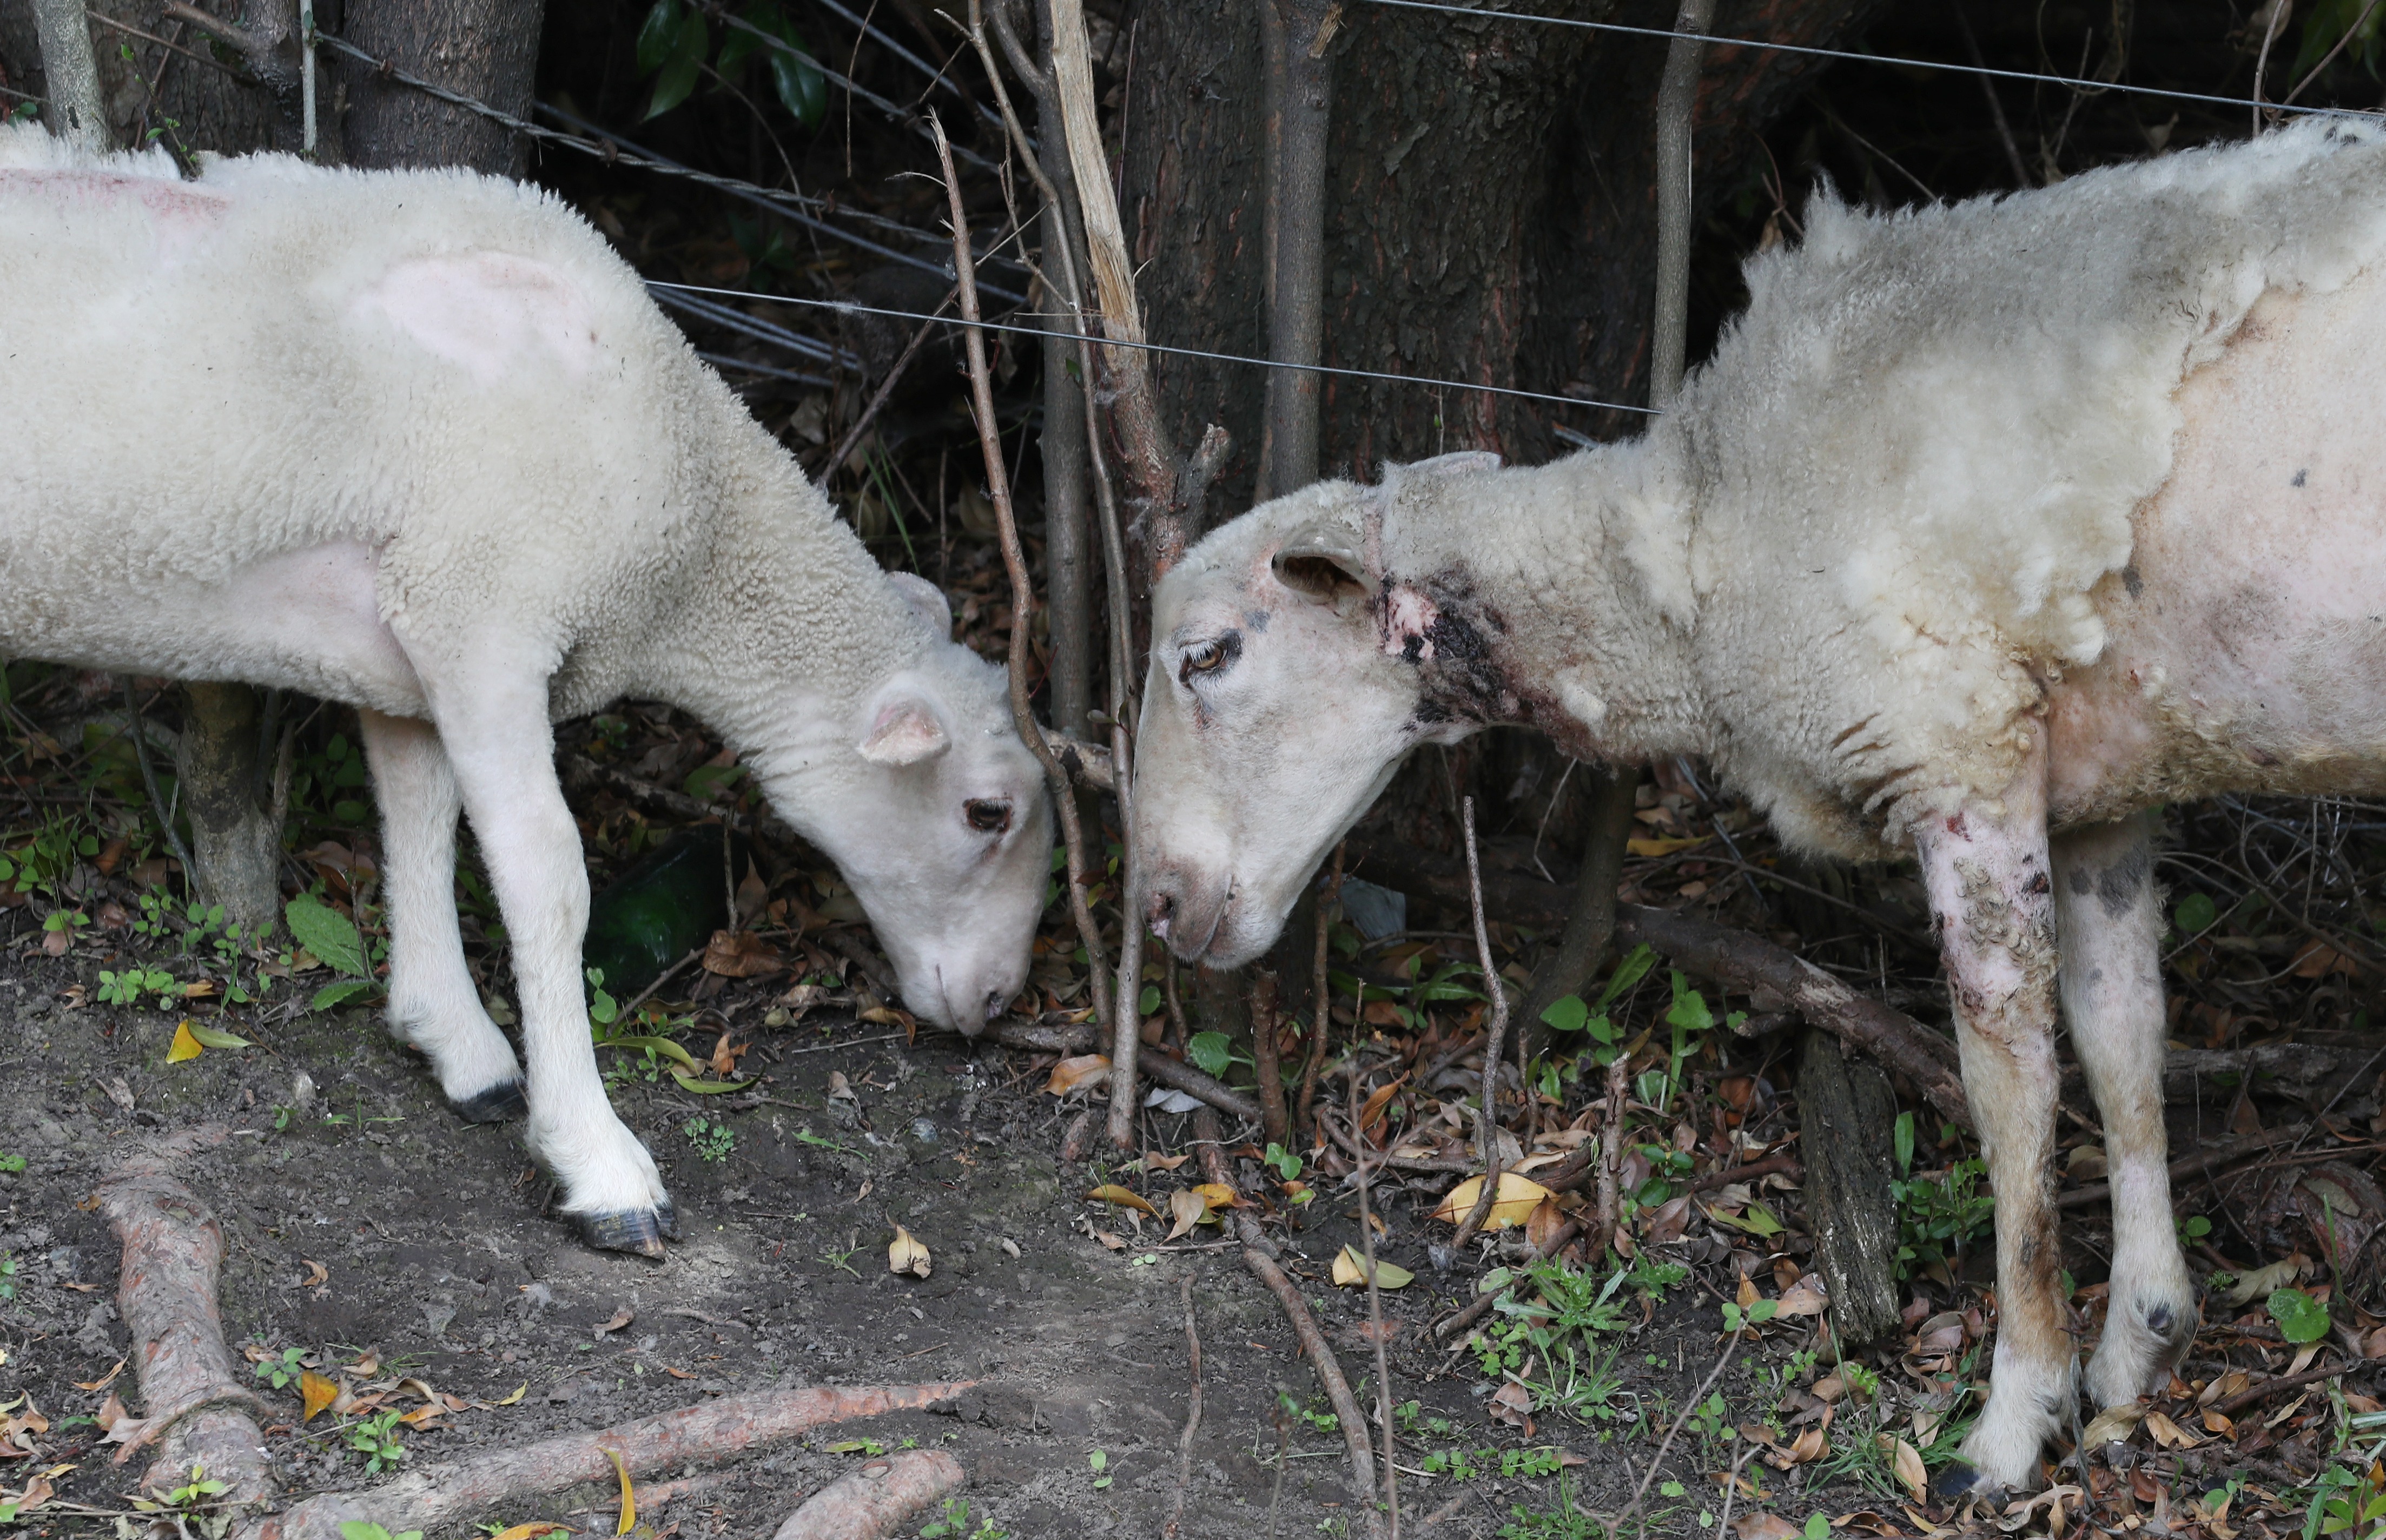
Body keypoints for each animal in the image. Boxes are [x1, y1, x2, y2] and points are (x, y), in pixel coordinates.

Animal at [0, 125, 1051, 1255]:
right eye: (986, 811)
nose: (999, 999)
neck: (693, 542)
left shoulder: (412, 632)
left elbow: (419, 813)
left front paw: (453, 1041)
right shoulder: (488, 612)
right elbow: (546, 874)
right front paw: (599, 1160)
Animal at [1130, 115, 2386, 1494]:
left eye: (1207, 655)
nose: (1158, 902)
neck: (1689, 544)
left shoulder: (1957, 754)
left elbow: (2008, 1092)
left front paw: (2014, 1415)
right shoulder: (2098, 781)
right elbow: (2121, 1041)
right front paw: (2139, 1341)